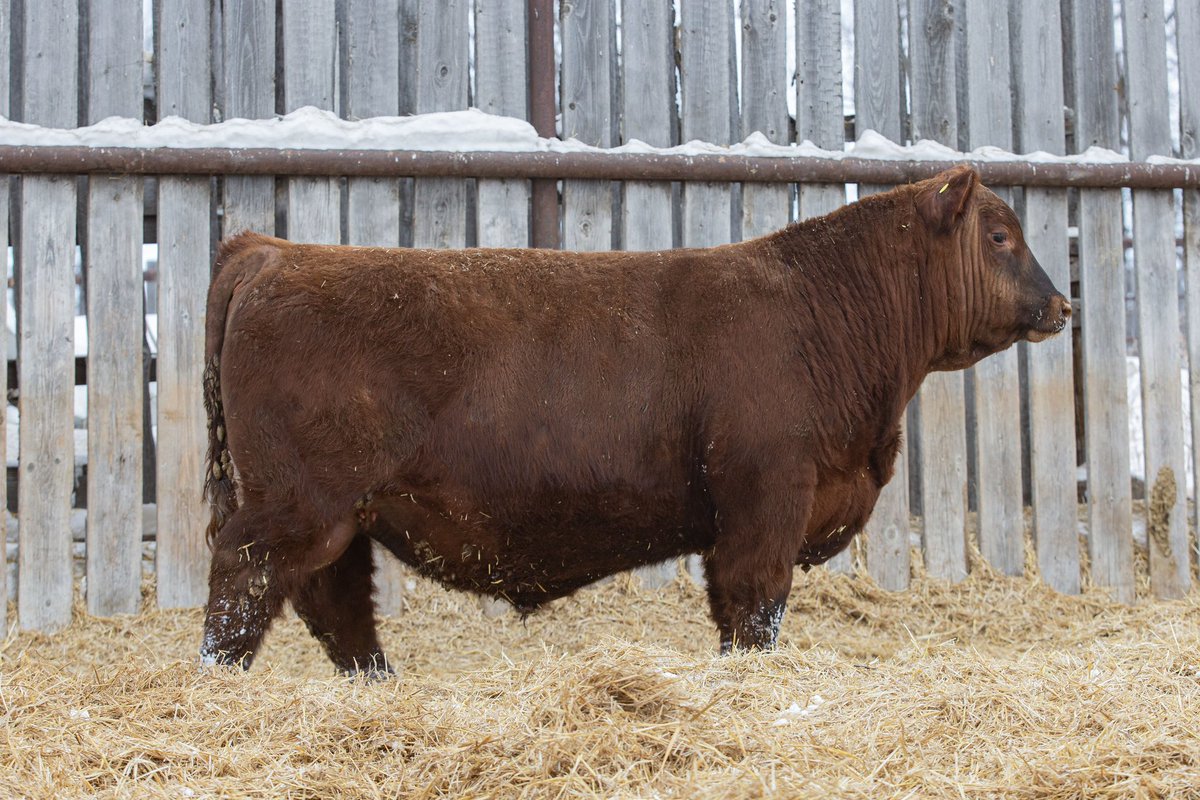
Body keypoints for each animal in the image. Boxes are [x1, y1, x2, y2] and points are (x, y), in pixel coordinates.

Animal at [198, 166, 1069, 674]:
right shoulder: (766, 500)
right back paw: (221, 679)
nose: (1063, 305)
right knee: (244, 581)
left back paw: (375, 680)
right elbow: (755, 606)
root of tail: (270, 251)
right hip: (296, 504)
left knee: (335, 601)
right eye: (1000, 235)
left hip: (340, 514)